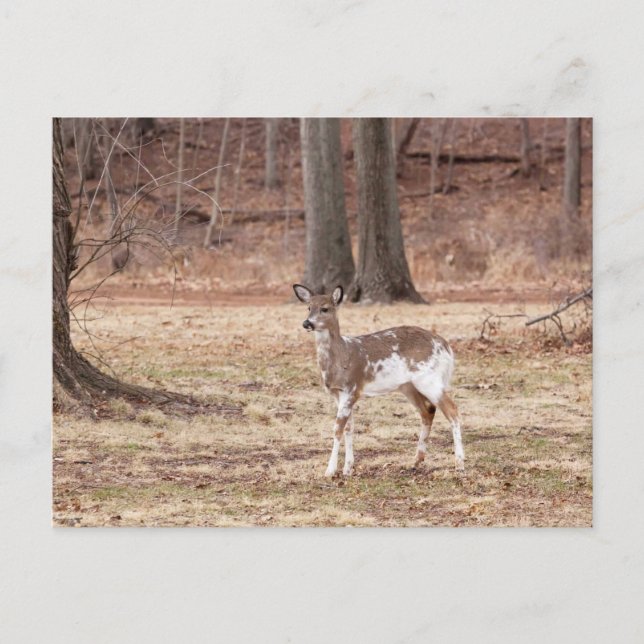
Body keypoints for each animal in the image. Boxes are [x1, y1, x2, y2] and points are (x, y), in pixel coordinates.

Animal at [293, 283, 464, 477]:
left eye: (325, 308)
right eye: (308, 307)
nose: (307, 323)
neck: (342, 357)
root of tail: (447, 347)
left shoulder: (352, 387)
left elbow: (337, 428)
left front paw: (330, 470)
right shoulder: (338, 393)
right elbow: (349, 428)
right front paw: (347, 468)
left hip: (429, 379)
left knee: (452, 410)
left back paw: (459, 464)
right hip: (408, 386)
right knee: (428, 410)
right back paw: (416, 461)